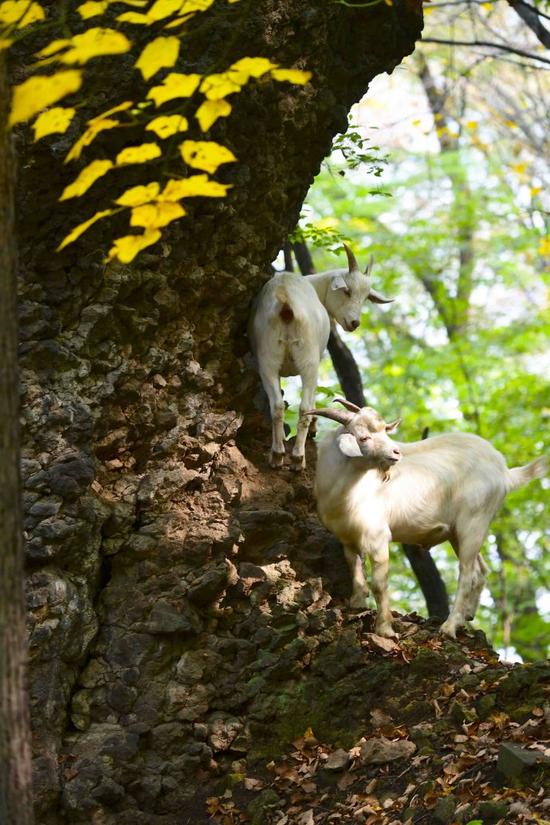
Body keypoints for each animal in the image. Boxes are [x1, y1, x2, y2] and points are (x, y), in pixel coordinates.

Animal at [250, 241, 392, 466]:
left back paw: (278, 455)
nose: (354, 323)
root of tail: (285, 299)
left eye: (365, 298)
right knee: (305, 407)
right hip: (309, 360)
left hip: (268, 357)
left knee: (278, 406)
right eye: (347, 291)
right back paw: (298, 458)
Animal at [310, 400, 548, 636]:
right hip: (458, 532)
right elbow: (355, 570)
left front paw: (385, 629)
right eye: (364, 438)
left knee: (468, 573)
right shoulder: (347, 538)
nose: (396, 453)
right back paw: (466, 616)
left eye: (385, 431)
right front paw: (358, 605)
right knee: (481, 570)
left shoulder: (377, 536)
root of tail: (504, 472)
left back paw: (449, 627)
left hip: (474, 521)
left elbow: (379, 583)